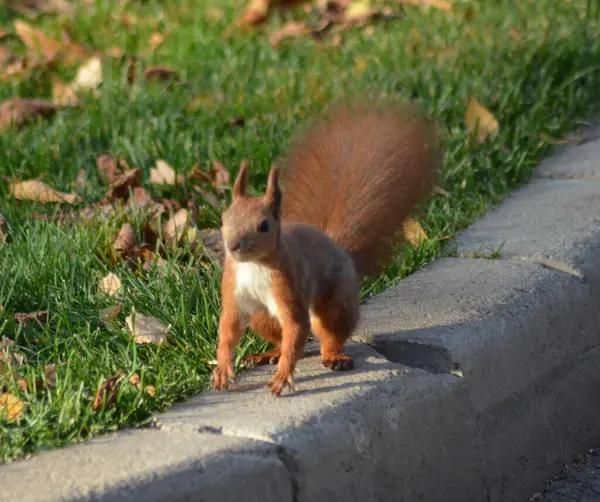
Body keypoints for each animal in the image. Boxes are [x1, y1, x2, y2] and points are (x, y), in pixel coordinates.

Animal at [211, 99, 440, 396]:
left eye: (264, 225)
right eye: (224, 218)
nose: (233, 246)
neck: (254, 266)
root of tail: (336, 246)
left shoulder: (288, 286)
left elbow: (296, 326)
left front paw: (283, 376)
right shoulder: (234, 288)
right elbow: (229, 328)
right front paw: (223, 369)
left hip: (335, 301)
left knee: (326, 332)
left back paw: (334, 356)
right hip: (262, 317)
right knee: (283, 337)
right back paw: (270, 354)